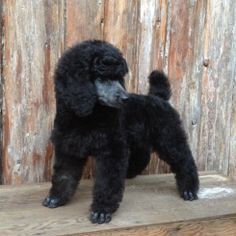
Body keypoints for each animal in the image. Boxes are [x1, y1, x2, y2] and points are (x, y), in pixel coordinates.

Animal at [42, 39, 199, 224]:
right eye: (102, 77)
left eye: (119, 78)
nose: (125, 98)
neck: (88, 117)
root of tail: (159, 98)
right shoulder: (68, 149)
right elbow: (64, 175)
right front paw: (56, 198)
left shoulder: (112, 151)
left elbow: (107, 182)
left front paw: (101, 210)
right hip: (139, 140)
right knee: (143, 156)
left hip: (168, 138)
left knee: (184, 159)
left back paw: (189, 189)